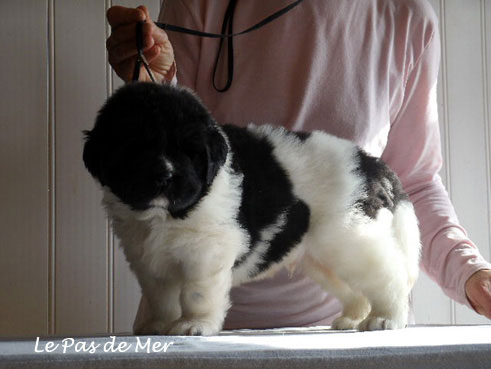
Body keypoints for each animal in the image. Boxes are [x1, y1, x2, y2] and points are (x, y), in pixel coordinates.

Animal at [82, 82, 420, 334]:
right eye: (133, 148)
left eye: (190, 152)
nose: (163, 176)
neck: (163, 216)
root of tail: (370, 164)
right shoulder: (149, 259)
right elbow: (160, 296)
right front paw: (157, 325)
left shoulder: (206, 250)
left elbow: (197, 292)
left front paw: (195, 324)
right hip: (325, 255)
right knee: (353, 286)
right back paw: (353, 317)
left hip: (352, 239)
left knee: (388, 276)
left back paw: (386, 317)